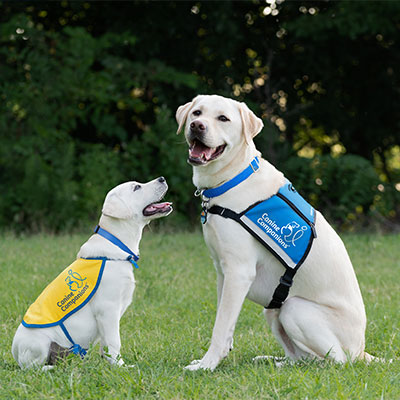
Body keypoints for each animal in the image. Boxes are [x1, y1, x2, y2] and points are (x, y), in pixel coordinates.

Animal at [12, 177, 172, 370]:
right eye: (136, 187)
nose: (162, 178)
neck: (117, 243)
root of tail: (15, 354)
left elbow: (106, 344)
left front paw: (111, 364)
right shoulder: (108, 308)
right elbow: (114, 341)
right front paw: (120, 366)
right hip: (39, 343)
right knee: (33, 368)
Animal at [177, 94, 374, 372]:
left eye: (223, 118)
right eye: (196, 113)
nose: (197, 126)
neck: (233, 179)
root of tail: (361, 351)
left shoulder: (238, 272)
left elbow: (220, 326)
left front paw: (207, 365)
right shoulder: (222, 271)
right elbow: (224, 323)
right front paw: (217, 357)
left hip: (293, 308)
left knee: (335, 361)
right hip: (273, 310)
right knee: (301, 357)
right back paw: (274, 362)